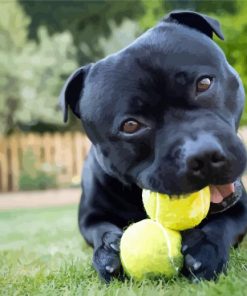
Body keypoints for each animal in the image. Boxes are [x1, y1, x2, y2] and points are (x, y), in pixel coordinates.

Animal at [59, 10, 247, 280]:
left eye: (204, 84)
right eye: (130, 125)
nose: (203, 155)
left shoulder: (240, 206)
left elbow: (226, 222)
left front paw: (206, 245)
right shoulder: (89, 217)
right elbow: (99, 228)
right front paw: (108, 249)